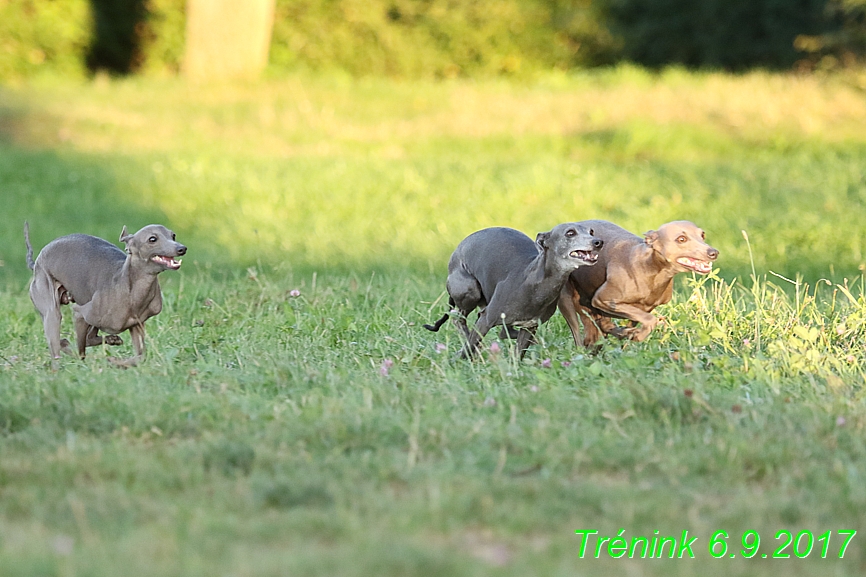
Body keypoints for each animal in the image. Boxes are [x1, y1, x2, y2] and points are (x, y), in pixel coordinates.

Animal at [24, 223, 186, 366]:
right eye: (152, 239)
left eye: (173, 235)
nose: (182, 248)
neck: (132, 292)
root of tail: (36, 262)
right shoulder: (79, 313)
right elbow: (80, 352)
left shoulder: (137, 325)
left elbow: (141, 356)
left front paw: (117, 362)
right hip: (52, 311)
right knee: (60, 343)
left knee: (89, 337)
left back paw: (111, 340)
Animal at [424, 223, 600, 358]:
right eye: (570, 233)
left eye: (591, 231)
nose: (598, 242)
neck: (535, 283)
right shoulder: (487, 320)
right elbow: (470, 346)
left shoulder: (529, 327)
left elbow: (517, 355)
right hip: (469, 289)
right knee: (458, 318)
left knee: (502, 331)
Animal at [556, 219, 720, 346]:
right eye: (681, 239)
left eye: (703, 235)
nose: (713, 252)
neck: (650, 269)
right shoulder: (602, 299)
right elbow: (650, 320)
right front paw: (637, 335)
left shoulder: (644, 308)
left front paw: (631, 336)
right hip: (567, 302)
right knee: (580, 337)